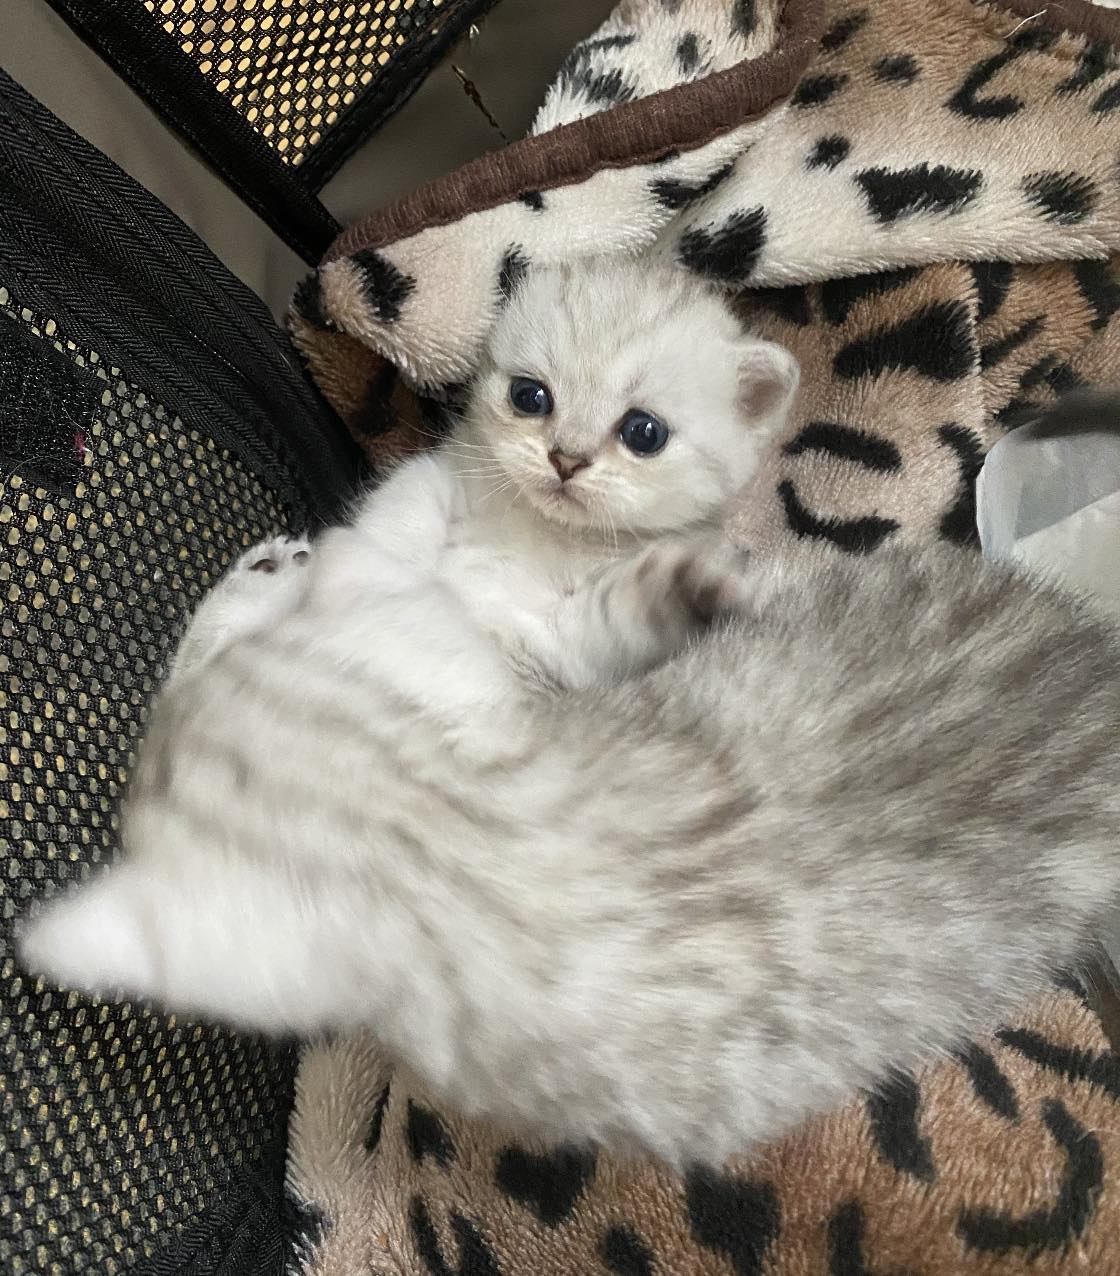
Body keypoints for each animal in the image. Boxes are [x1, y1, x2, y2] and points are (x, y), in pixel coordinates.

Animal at [18, 260, 1120, 1169]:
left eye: (642, 432)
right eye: (530, 395)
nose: (563, 459)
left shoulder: (541, 654)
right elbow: (392, 531)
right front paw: (320, 561)